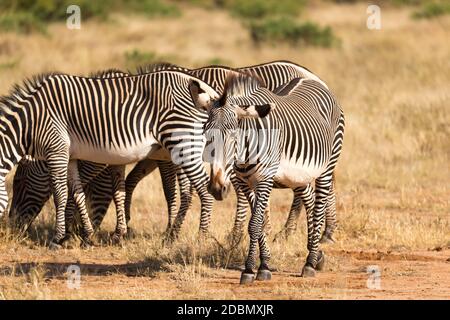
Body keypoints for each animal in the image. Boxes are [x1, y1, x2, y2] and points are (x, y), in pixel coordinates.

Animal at [0, 67, 218, 248]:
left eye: (18, 182)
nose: (11, 228)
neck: (31, 121)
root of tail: (198, 84)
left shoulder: (57, 150)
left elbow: (60, 194)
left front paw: (58, 238)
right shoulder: (70, 157)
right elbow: (78, 193)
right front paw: (87, 235)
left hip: (183, 142)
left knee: (205, 191)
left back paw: (201, 238)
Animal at [200, 72, 344, 282]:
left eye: (234, 135)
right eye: (205, 134)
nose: (217, 189)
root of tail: (312, 80)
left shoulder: (265, 180)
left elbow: (255, 224)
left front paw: (249, 270)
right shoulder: (245, 182)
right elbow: (261, 224)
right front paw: (264, 265)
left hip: (327, 165)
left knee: (318, 208)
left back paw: (310, 263)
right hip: (298, 176)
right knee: (309, 200)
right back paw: (316, 255)